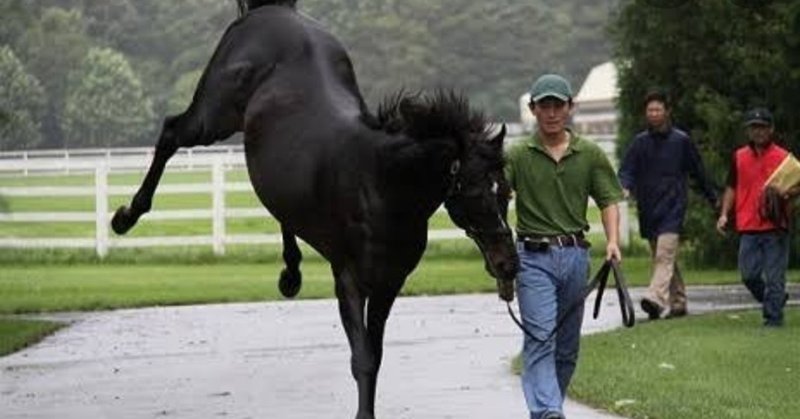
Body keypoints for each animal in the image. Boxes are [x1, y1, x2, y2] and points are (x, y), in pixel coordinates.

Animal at [109, 1, 516, 418]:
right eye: (475, 192)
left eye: (507, 192)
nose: (508, 264)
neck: (379, 180)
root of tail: (270, 10)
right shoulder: (349, 278)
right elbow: (363, 359)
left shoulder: (388, 283)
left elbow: (376, 355)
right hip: (213, 115)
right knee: (172, 132)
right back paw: (125, 217)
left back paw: (291, 275)